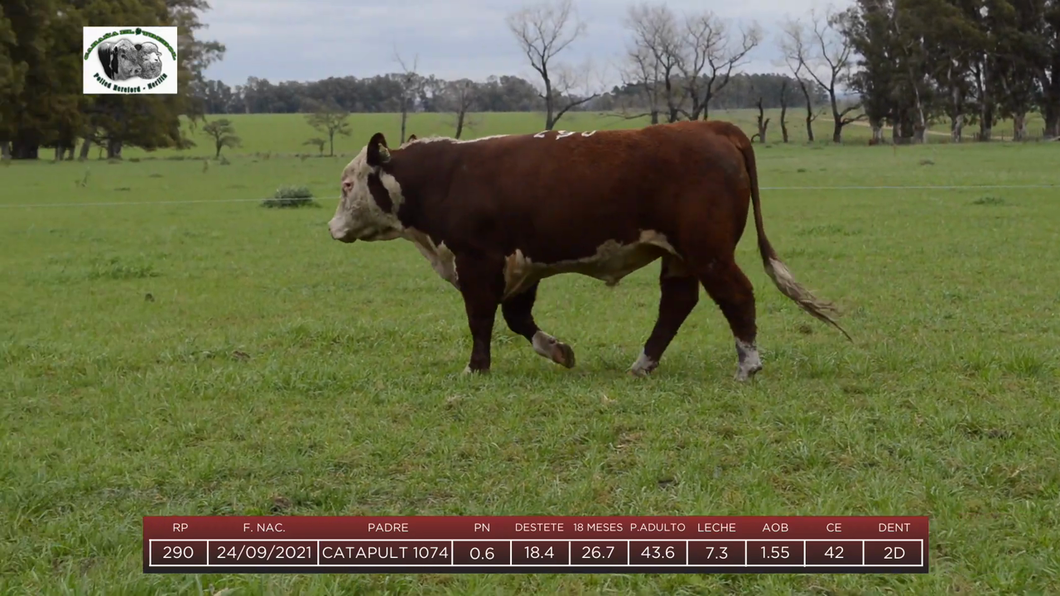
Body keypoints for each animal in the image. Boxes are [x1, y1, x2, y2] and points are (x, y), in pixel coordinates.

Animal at [326, 119, 847, 377]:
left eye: (347, 184)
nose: (332, 228)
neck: (446, 177)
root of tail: (713, 126)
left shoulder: (479, 262)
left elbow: (481, 319)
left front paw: (476, 368)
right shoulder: (521, 266)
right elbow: (517, 320)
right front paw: (558, 351)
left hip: (708, 249)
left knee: (736, 295)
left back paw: (748, 365)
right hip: (680, 256)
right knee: (677, 304)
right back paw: (643, 365)